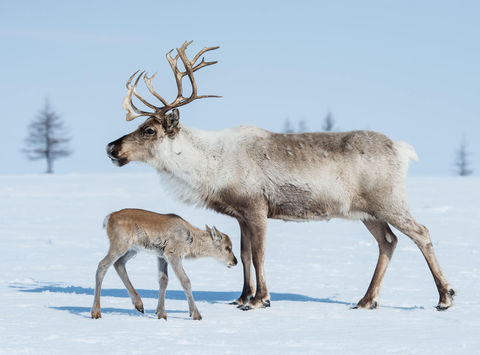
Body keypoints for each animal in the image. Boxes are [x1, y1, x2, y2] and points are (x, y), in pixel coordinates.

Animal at [90, 210, 238, 322]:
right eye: (227, 247)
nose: (235, 261)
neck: (191, 240)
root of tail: (108, 218)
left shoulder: (161, 256)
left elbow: (163, 280)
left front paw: (161, 313)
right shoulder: (173, 254)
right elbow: (185, 281)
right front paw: (196, 314)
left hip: (132, 249)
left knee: (119, 264)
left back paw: (139, 305)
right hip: (120, 245)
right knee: (102, 265)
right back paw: (96, 312)